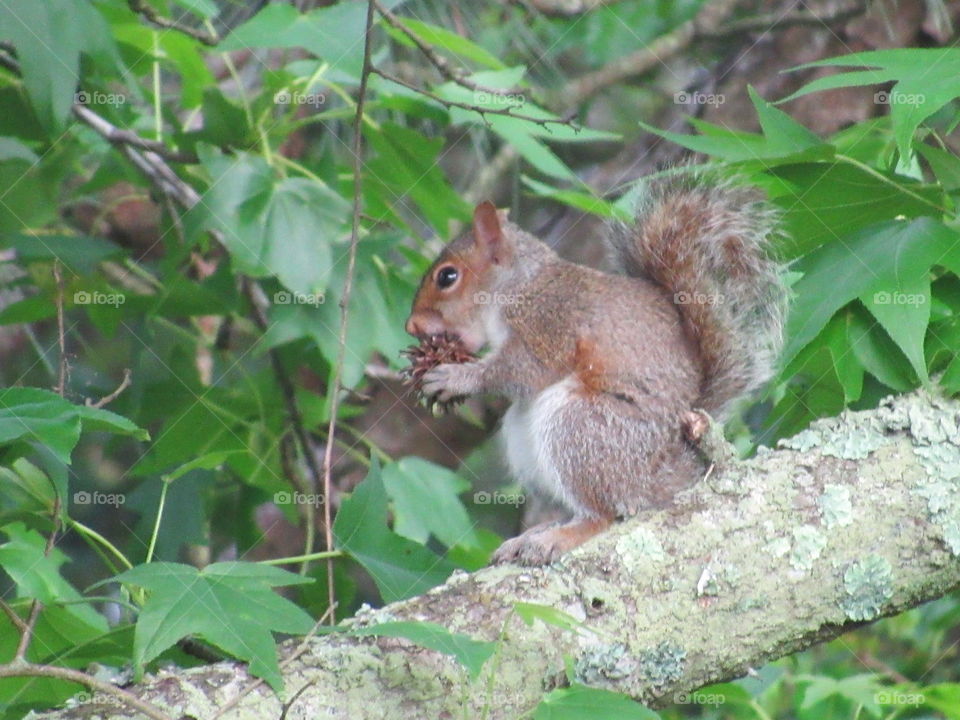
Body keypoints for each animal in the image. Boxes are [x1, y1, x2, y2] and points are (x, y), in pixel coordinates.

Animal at [405, 176, 787, 566]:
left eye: (447, 276)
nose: (412, 327)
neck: (519, 286)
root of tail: (667, 475)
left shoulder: (549, 323)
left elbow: (524, 370)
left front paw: (453, 377)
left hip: (581, 425)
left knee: (603, 515)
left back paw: (559, 538)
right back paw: (532, 535)